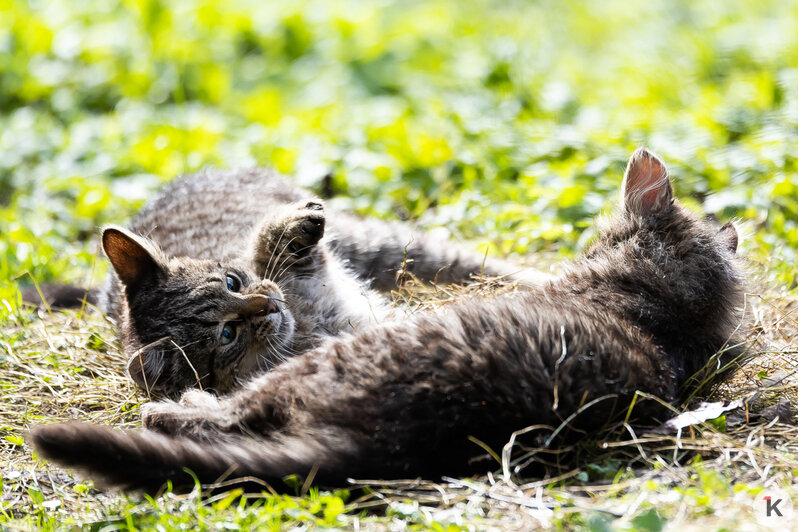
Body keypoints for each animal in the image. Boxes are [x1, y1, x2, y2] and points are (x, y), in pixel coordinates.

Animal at [92, 168, 544, 396]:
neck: (303, 320)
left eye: (232, 283)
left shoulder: (310, 268)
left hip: (375, 242)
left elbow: (264, 244)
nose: (270, 306)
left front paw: (289, 225)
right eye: (227, 335)